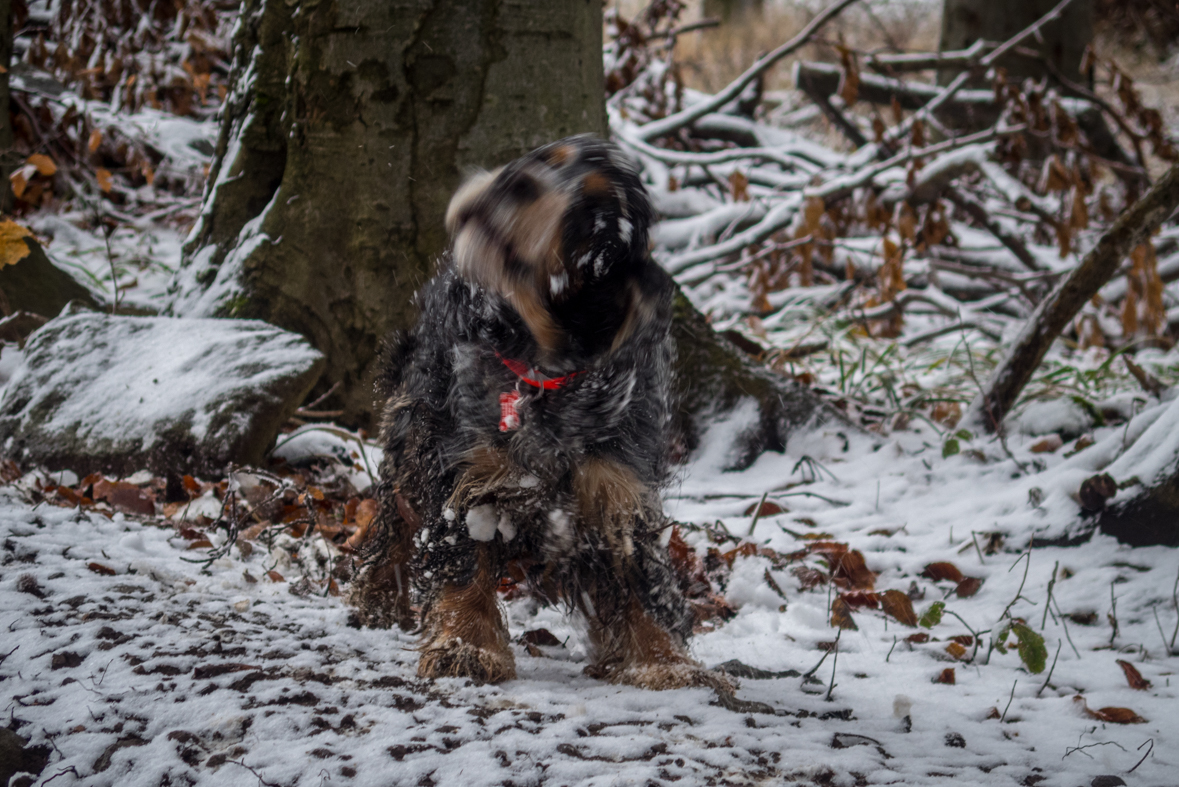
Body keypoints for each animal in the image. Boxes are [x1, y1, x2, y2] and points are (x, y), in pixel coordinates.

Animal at [348, 138, 721, 692]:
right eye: (547, 159)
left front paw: (665, 661)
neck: (544, 366)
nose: (514, 182)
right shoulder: (469, 473)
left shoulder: (619, 487)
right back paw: (375, 596)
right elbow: (462, 562)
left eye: (595, 209)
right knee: (395, 512)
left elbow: (642, 579)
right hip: (414, 422)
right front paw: (467, 646)